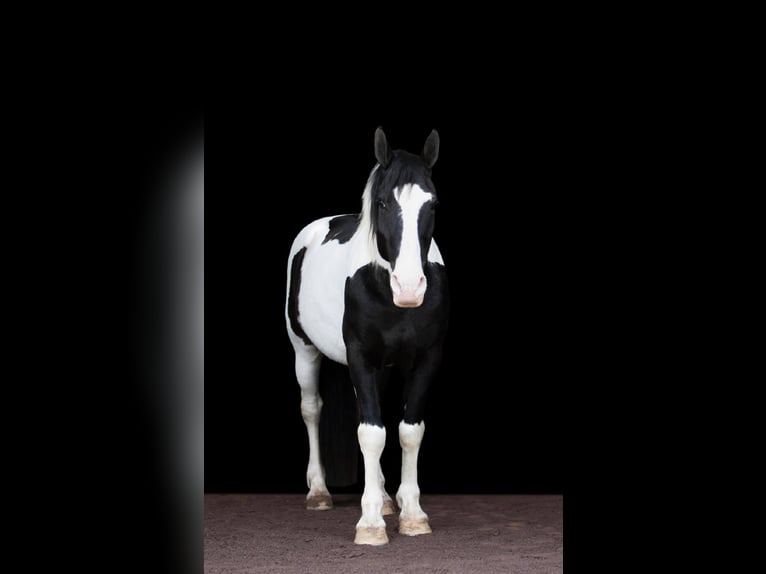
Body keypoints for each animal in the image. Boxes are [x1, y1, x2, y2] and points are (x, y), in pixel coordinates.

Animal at [286, 128, 450, 548]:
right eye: (382, 202)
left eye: (432, 204)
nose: (408, 288)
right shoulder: (359, 356)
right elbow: (372, 434)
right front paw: (371, 523)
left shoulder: (427, 358)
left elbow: (408, 431)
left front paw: (411, 513)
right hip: (304, 351)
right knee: (311, 409)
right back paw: (319, 492)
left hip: (382, 367)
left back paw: (387, 498)